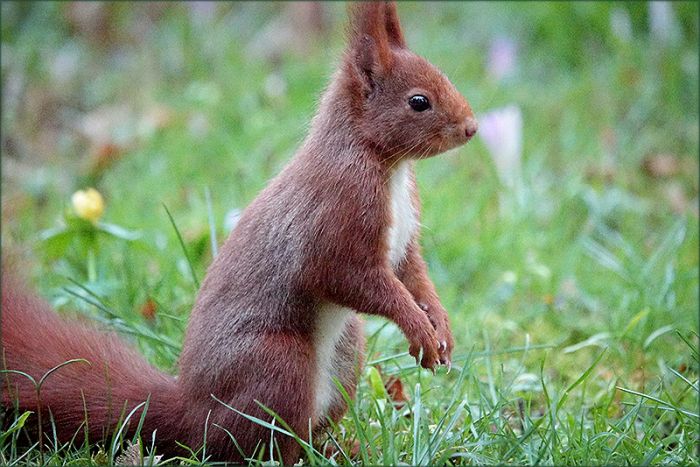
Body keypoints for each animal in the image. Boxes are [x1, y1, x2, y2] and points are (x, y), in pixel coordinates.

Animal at [1, 2, 477, 463]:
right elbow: (352, 278)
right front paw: (418, 328)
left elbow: (413, 274)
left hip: (345, 355)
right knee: (259, 446)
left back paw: (338, 449)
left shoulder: (403, 240)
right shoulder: (335, 218)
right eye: (419, 101)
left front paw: (440, 325)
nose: (471, 128)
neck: (384, 164)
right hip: (278, 364)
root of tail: (193, 414)